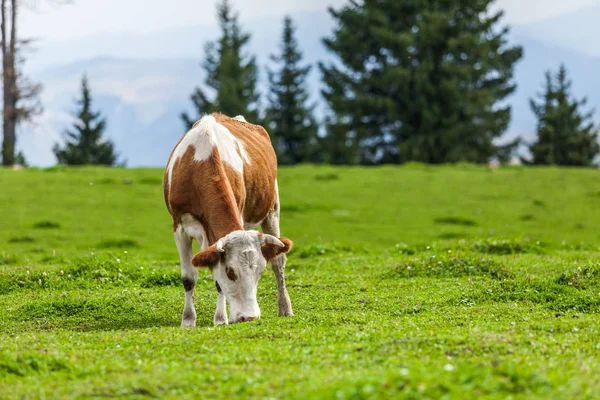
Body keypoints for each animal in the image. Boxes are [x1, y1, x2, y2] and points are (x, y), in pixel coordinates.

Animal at [163, 111, 294, 324]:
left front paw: (220, 319)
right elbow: (189, 277)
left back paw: (285, 307)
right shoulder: (179, 227)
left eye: (260, 271)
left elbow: (218, 283)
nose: (249, 317)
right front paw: (188, 320)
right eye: (231, 272)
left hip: (272, 209)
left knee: (279, 262)